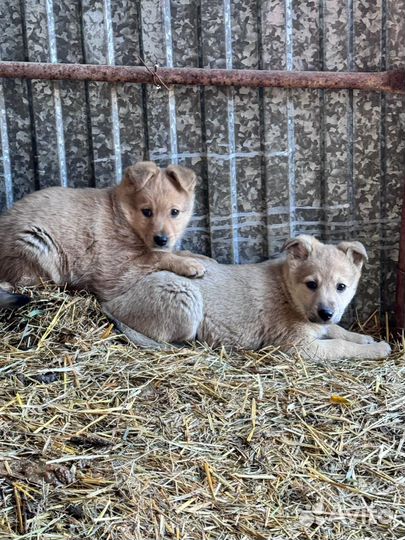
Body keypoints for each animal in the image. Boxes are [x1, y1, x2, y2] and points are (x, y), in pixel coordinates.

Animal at [0, 160, 202, 304]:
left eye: (174, 212)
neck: (122, 216)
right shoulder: (115, 273)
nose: (161, 240)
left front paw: (185, 254)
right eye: (146, 212)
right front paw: (188, 264)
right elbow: (156, 256)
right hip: (35, 243)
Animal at [104, 235, 392, 358]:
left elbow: (339, 331)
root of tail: (113, 301)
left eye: (341, 287)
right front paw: (376, 349)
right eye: (311, 284)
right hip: (186, 299)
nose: (326, 313)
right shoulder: (299, 347)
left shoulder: (318, 327)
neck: (289, 292)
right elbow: (342, 346)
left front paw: (365, 338)